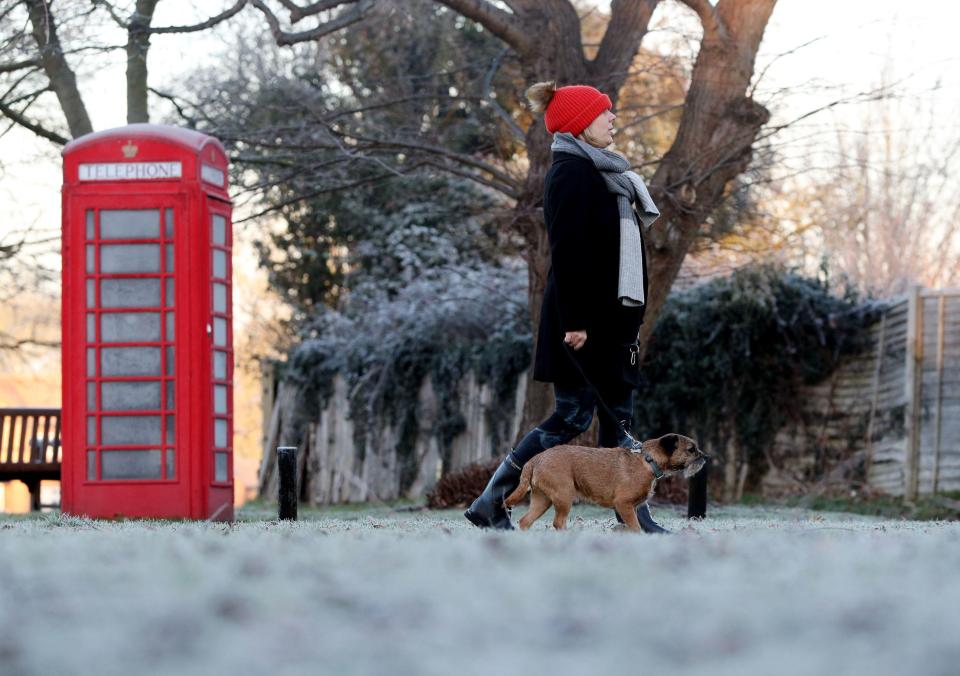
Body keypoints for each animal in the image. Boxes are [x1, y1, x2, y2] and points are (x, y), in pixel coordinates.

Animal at [502, 436, 704, 532]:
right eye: (691, 450)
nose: (706, 457)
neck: (648, 460)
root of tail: (534, 459)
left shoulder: (632, 508)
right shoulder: (624, 505)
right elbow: (636, 527)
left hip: (542, 500)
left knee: (525, 521)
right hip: (564, 497)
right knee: (558, 522)